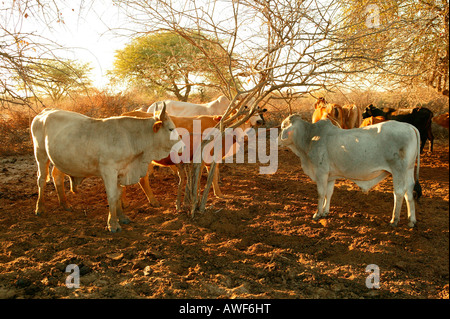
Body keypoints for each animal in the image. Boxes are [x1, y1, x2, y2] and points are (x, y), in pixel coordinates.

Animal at [278, 116, 422, 229]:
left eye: (283, 126)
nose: (277, 140)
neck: (309, 138)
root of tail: (409, 126)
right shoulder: (330, 176)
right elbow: (328, 193)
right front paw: (325, 212)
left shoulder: (321, 173)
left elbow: (321, 194)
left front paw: (317, 214)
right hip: (408, 170)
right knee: (409, 192)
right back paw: (411, 220)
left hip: (399, 170)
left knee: (399, 193)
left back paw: (394, 220)